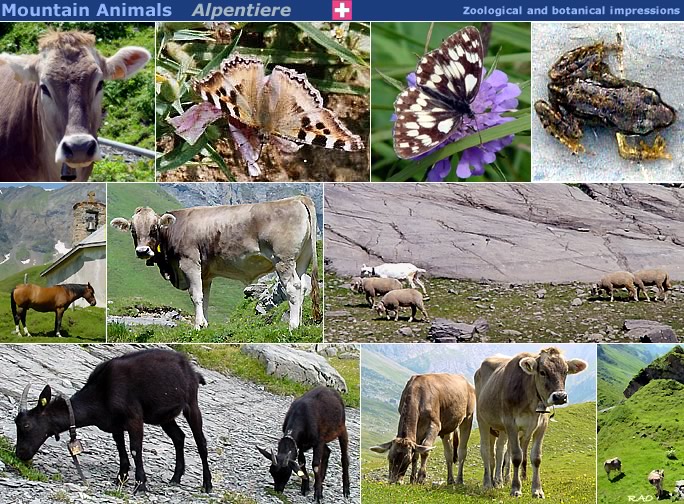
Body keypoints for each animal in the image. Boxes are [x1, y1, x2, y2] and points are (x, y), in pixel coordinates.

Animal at [14, 348, 211, 494]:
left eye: (26, 425)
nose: (20, 453)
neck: (102, 392)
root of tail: (193, 372)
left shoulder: (134, 418)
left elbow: (134, 449)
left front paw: (140, 485)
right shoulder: (116, 424)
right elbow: (120, 449)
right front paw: (120, 478)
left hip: (191, 404)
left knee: (201, 442)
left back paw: (207, 484)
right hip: (165, 416)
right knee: (179, 437)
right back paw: (176, 478)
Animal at [476, 348, 588, 498]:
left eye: (565, 372)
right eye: (542, 372)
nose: (560, 397)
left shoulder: (541, 426)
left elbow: (535, 457)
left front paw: (537, 490)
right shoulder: (511, 424)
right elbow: (517, 456)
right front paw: (516, 489)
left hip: (502, 429)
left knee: (500, 450)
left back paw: (499, 482)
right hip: (482, 419)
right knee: (486, 450)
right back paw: (488, 484)